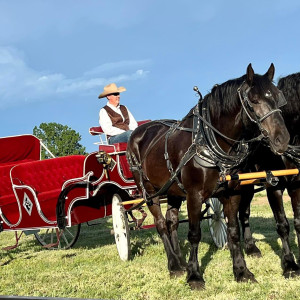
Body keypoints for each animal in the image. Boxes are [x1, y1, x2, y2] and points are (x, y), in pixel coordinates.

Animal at [127, 64, 290, 290]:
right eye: (254, 101)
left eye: (278, 97)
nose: (282, 140)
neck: (208, 142)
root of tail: (138, 132)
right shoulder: (194, 195)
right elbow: (194, 234)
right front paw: (195, 275)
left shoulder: (232, 193)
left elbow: (233, 231)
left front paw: (241, 271)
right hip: (150, 192)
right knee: (160, 224)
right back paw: (174, 265)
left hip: (173, 190)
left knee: (171, 221)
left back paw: (180, 259)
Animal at [239, 71, 300, 278]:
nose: (281, 140)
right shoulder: (274, 187)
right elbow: (282, 225)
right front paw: (289, 264)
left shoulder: (297, 184)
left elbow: (298, 222)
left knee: (244, 213)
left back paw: (250, 247)